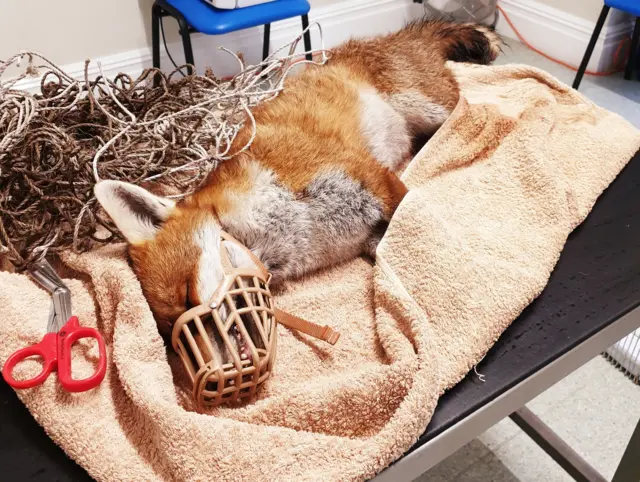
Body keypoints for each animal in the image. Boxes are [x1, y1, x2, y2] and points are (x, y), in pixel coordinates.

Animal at [96, 17, 504, 336]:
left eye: (186, 294)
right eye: (174, 330)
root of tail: (389, 37)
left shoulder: (369, 177)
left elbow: (414, 227)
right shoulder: (366, 235)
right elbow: (391, 250)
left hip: (432, 108)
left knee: (470, 109)